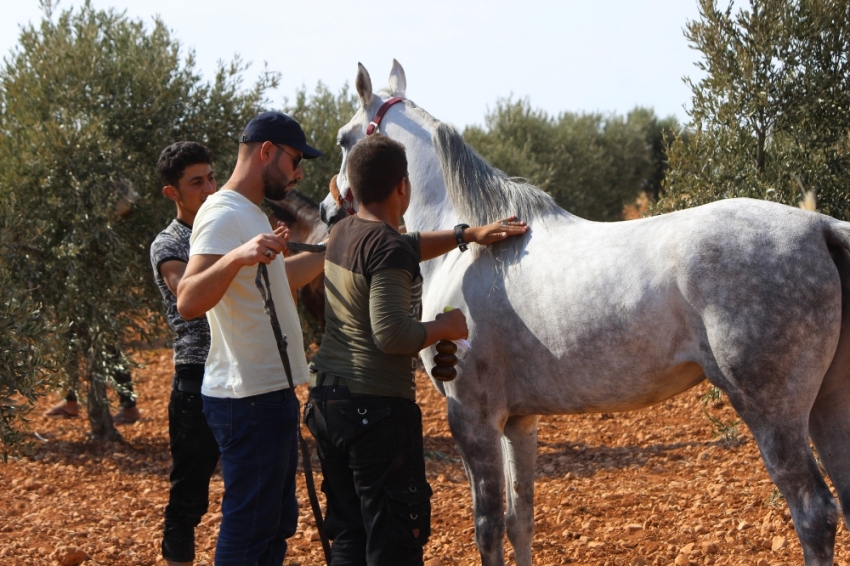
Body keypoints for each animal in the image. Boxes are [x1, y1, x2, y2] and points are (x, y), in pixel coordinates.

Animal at [322, 61, 848, 566]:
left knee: (814, 512)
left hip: (774, 414)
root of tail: (821, 227)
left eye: (344, 139)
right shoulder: (519, 422)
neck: (472, 256)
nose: (327, 209)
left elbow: (488, 529)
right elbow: (520, 521)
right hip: (828, 405)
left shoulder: (472, 417)